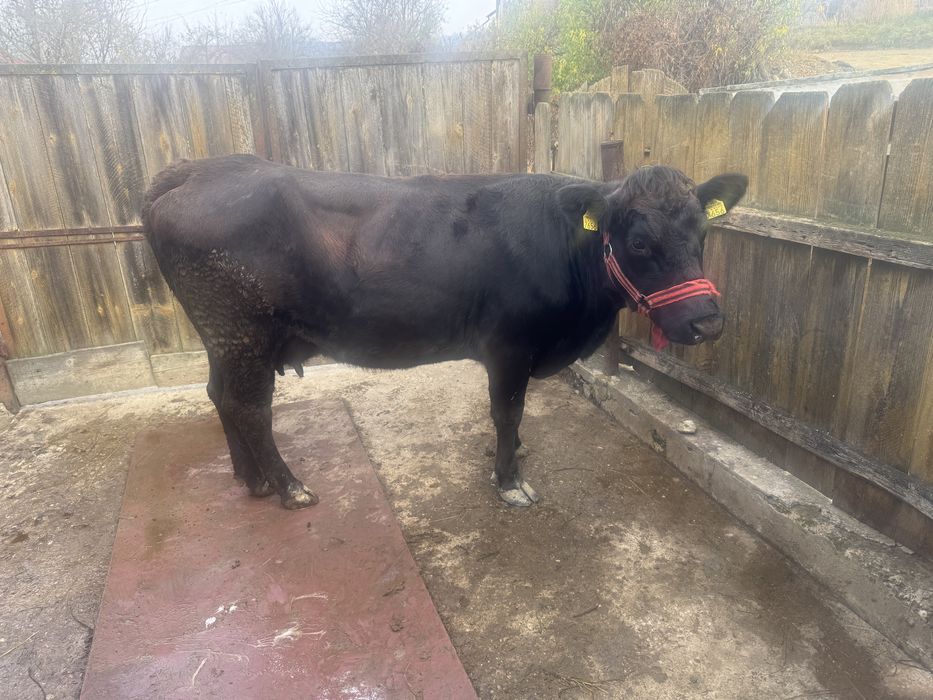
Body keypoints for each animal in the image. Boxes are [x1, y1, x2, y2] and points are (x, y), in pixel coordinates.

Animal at [142, 155, 746, 509]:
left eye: (703, 232)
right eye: (639, 242)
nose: (707, 320)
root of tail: (198, 170)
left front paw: (515, 457)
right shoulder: (509, 348)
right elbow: (507, 412)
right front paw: (510, 480)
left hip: (224, 339)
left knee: (218, 395)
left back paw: (253, 480)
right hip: (243, 332)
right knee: (249, 407)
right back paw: (290, 488)